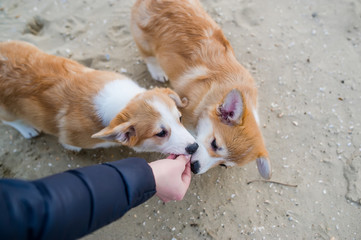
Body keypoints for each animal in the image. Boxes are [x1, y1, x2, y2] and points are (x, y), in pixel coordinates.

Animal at [0, 40, 198, 156]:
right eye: (160, 133)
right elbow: (70, 143)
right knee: (9, 121)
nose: (194, 147)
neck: (124, 102)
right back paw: (27, 129)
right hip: (7, 110)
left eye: (180, 118)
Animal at [131, 0, 270, 178]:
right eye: (215, 143)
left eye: (223, 164)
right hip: (144, 41)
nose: (195, 168)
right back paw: (157, 71)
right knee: (148, 56)